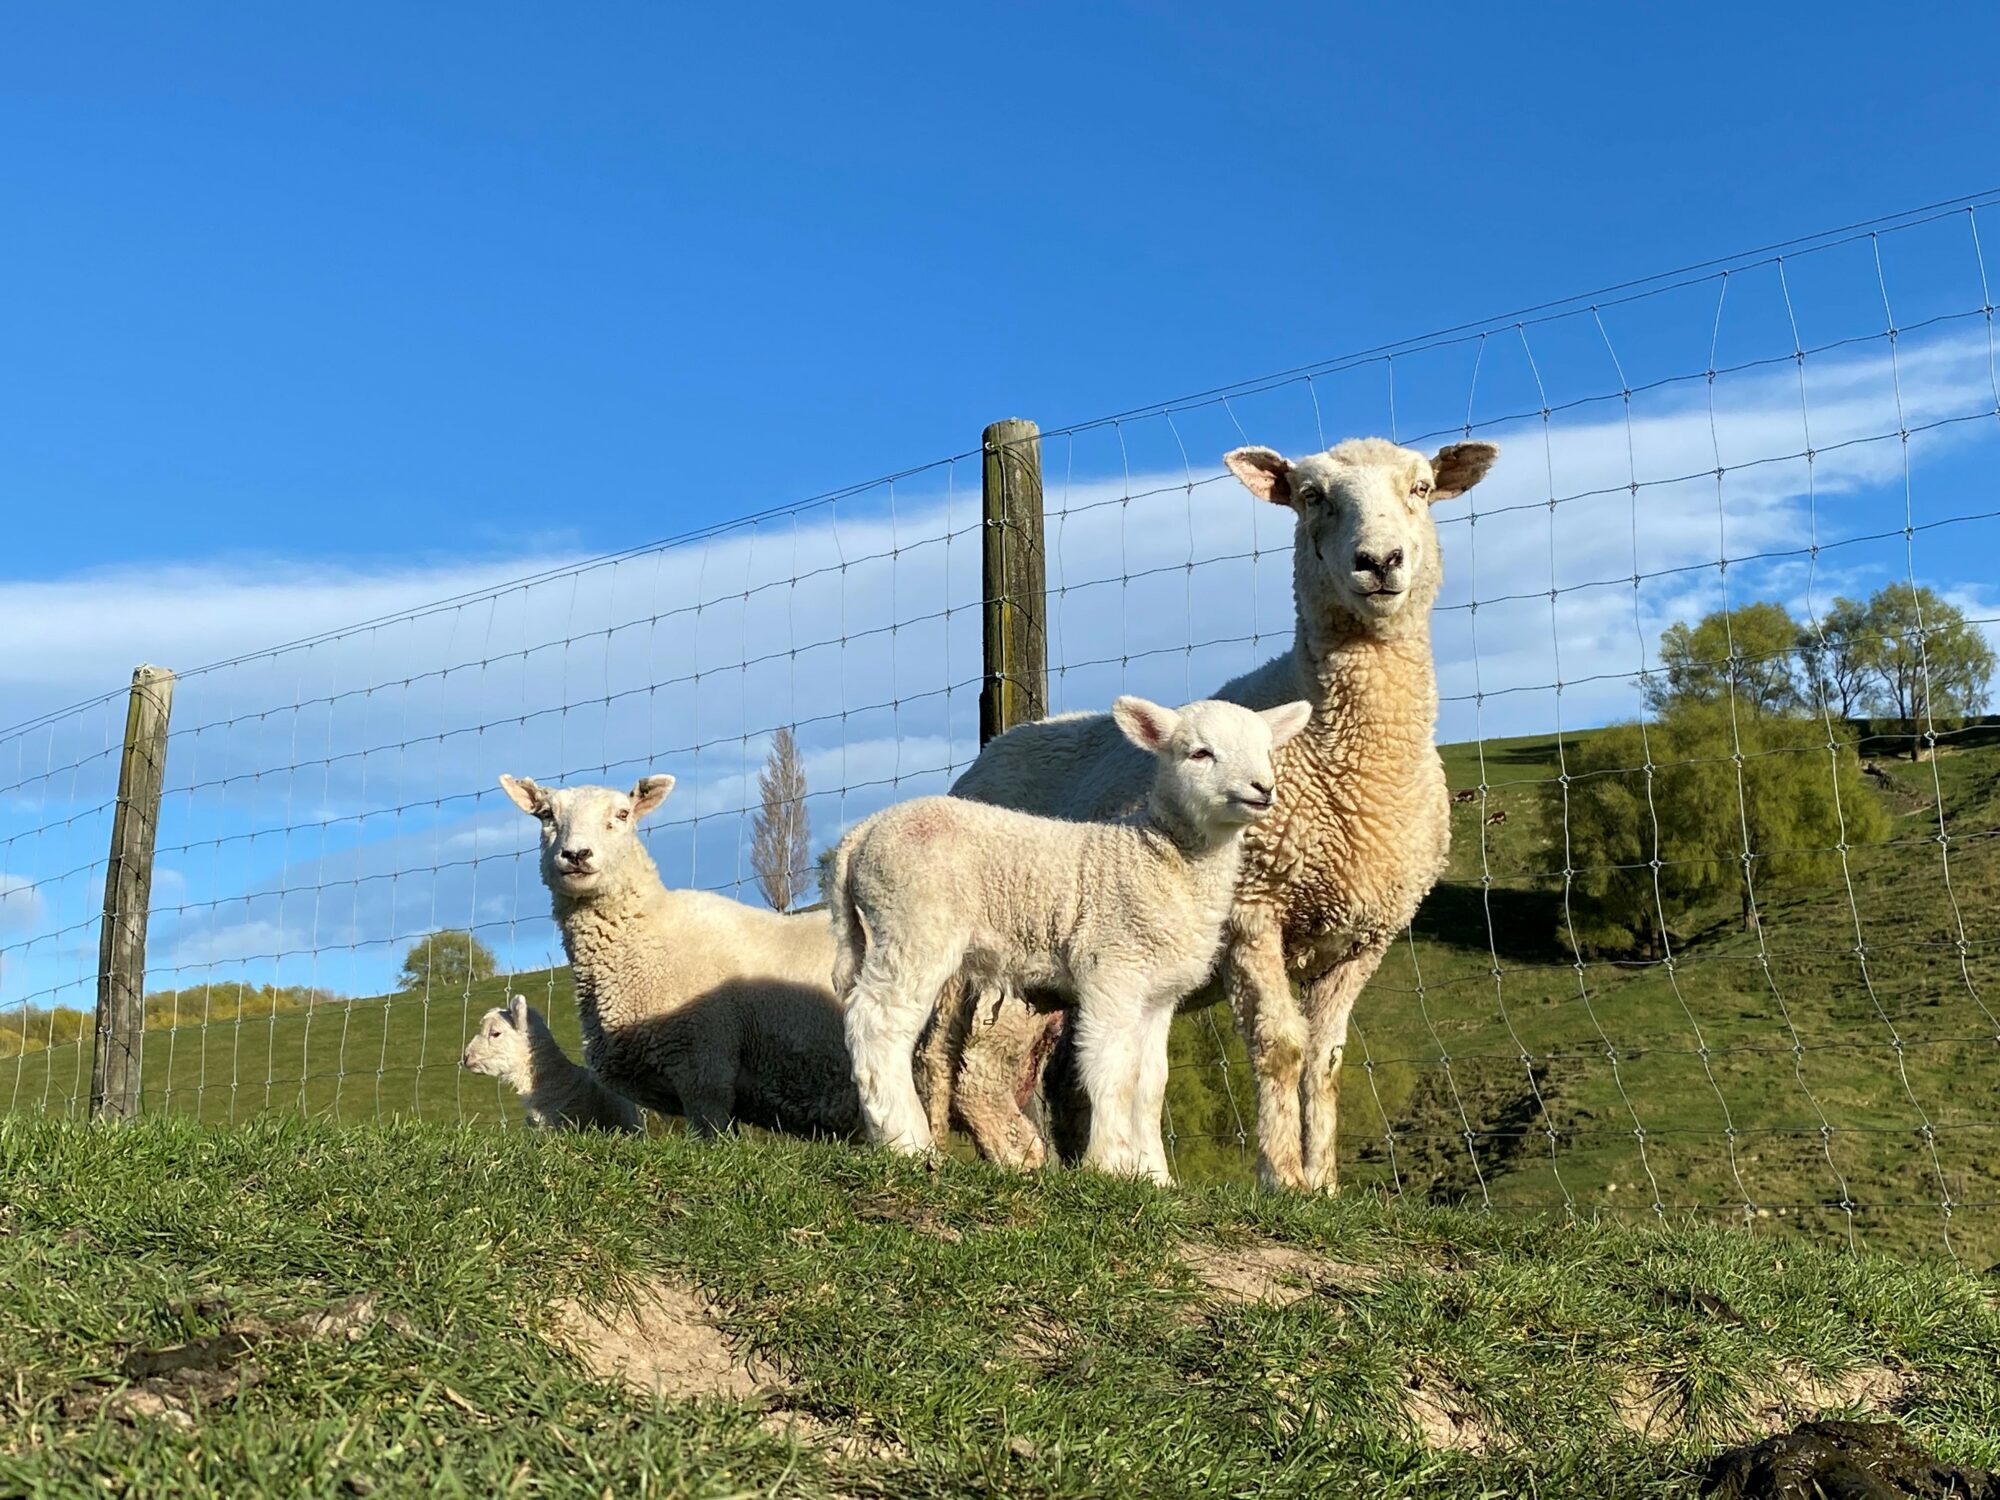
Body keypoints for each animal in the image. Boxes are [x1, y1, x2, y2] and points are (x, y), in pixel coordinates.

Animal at [497, 772, 863, 1138]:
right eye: (546, 815)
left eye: (623, 814)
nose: (576, 854)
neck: (647, 933)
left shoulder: (703, 1066)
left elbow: (711, 1135)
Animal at [829, 694, 1310, 1184]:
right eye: (1200, 753)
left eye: (1267, 750)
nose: (1262, 788)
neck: (1159, 855)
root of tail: (862, 834)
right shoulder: (1111, 966)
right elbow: (1113, 1069)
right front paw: (1111, 1164)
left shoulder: (1157, 993)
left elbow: (1150, 1083)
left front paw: (1155, 1177)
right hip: (914, 923)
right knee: (877, 1022)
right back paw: (905, 1141)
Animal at [938, 435, 1500, 1192]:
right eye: (1312, 496)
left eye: (1421, 488)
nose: (1379, 562)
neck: (1357, 762)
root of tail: (992, 751)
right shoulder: (1252, 914)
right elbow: (1281, 1045)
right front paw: (1282, 1178)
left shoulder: (1366, 937)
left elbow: (1326, 1060)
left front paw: (1324, 1185)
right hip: (1008, 956)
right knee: (981, 1074)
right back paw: (1026, 1168)